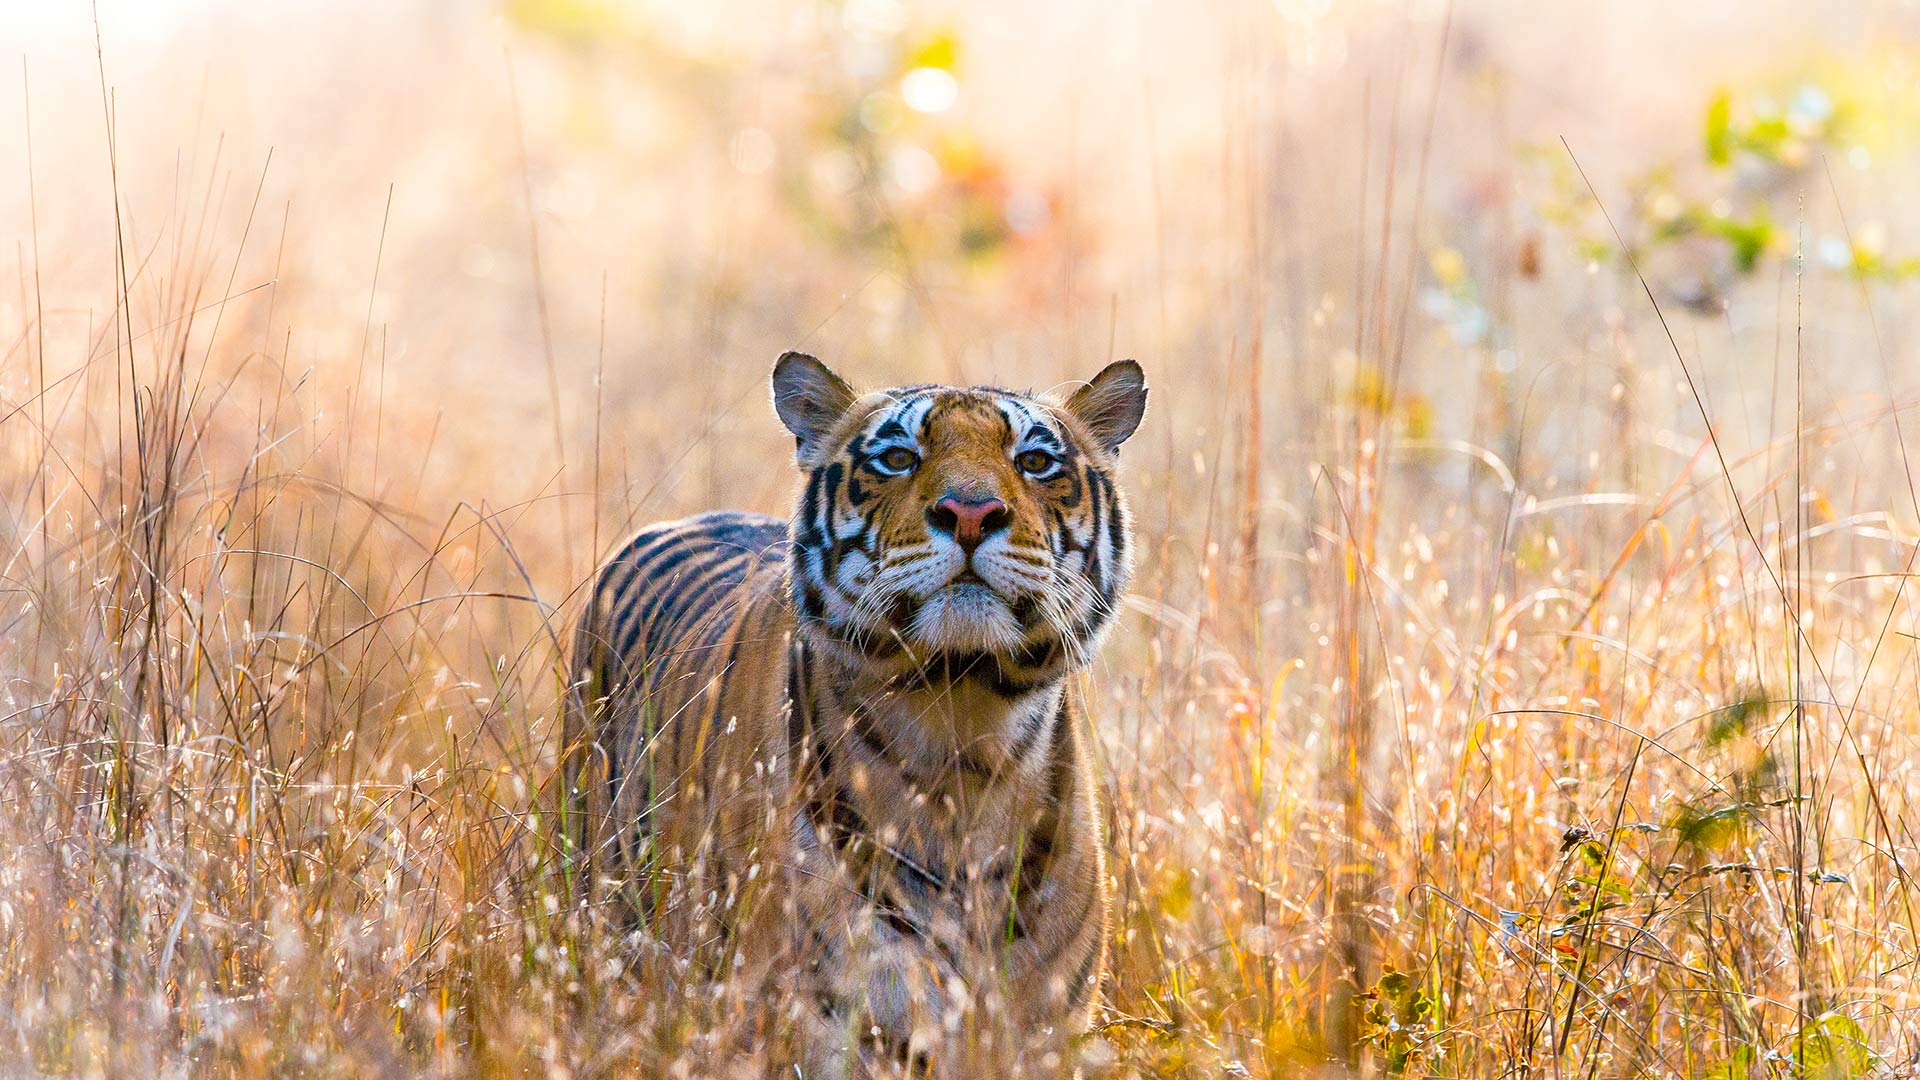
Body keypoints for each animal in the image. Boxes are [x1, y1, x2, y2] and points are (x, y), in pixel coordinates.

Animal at [560, 353, 1144, 1076]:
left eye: (1035, 461)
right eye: (897, 457)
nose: (971, 512)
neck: (961, 733)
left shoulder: (1041, 1031)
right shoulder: (827, 1018)